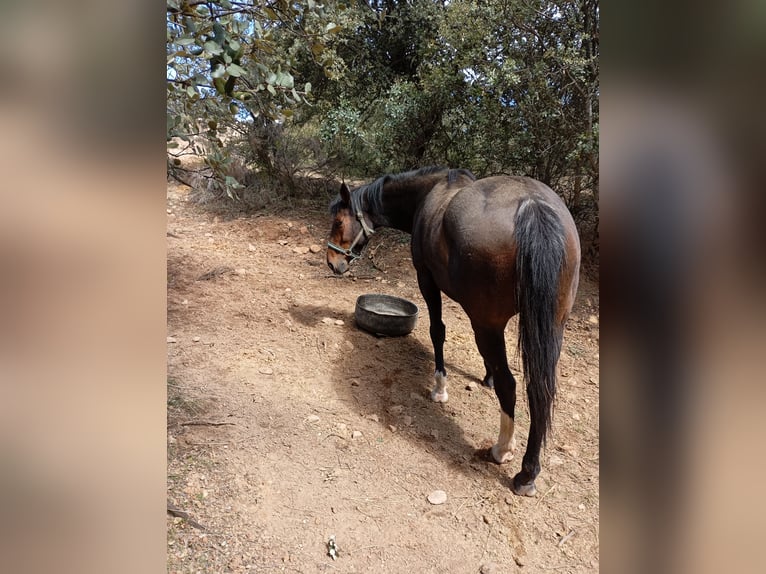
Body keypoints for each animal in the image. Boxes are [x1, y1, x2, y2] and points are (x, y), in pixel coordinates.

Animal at [326, 166, 580, 496]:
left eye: (338, 222)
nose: (332, 262)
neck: (428, 193)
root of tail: (532, 207)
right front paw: (486, 375)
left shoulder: (427, 279)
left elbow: (438, 331)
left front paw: (439, 387)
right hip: (550, 327)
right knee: (540, 391)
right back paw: (529, 471)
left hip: (489, 324)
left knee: (511, 386)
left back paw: (505, 452)